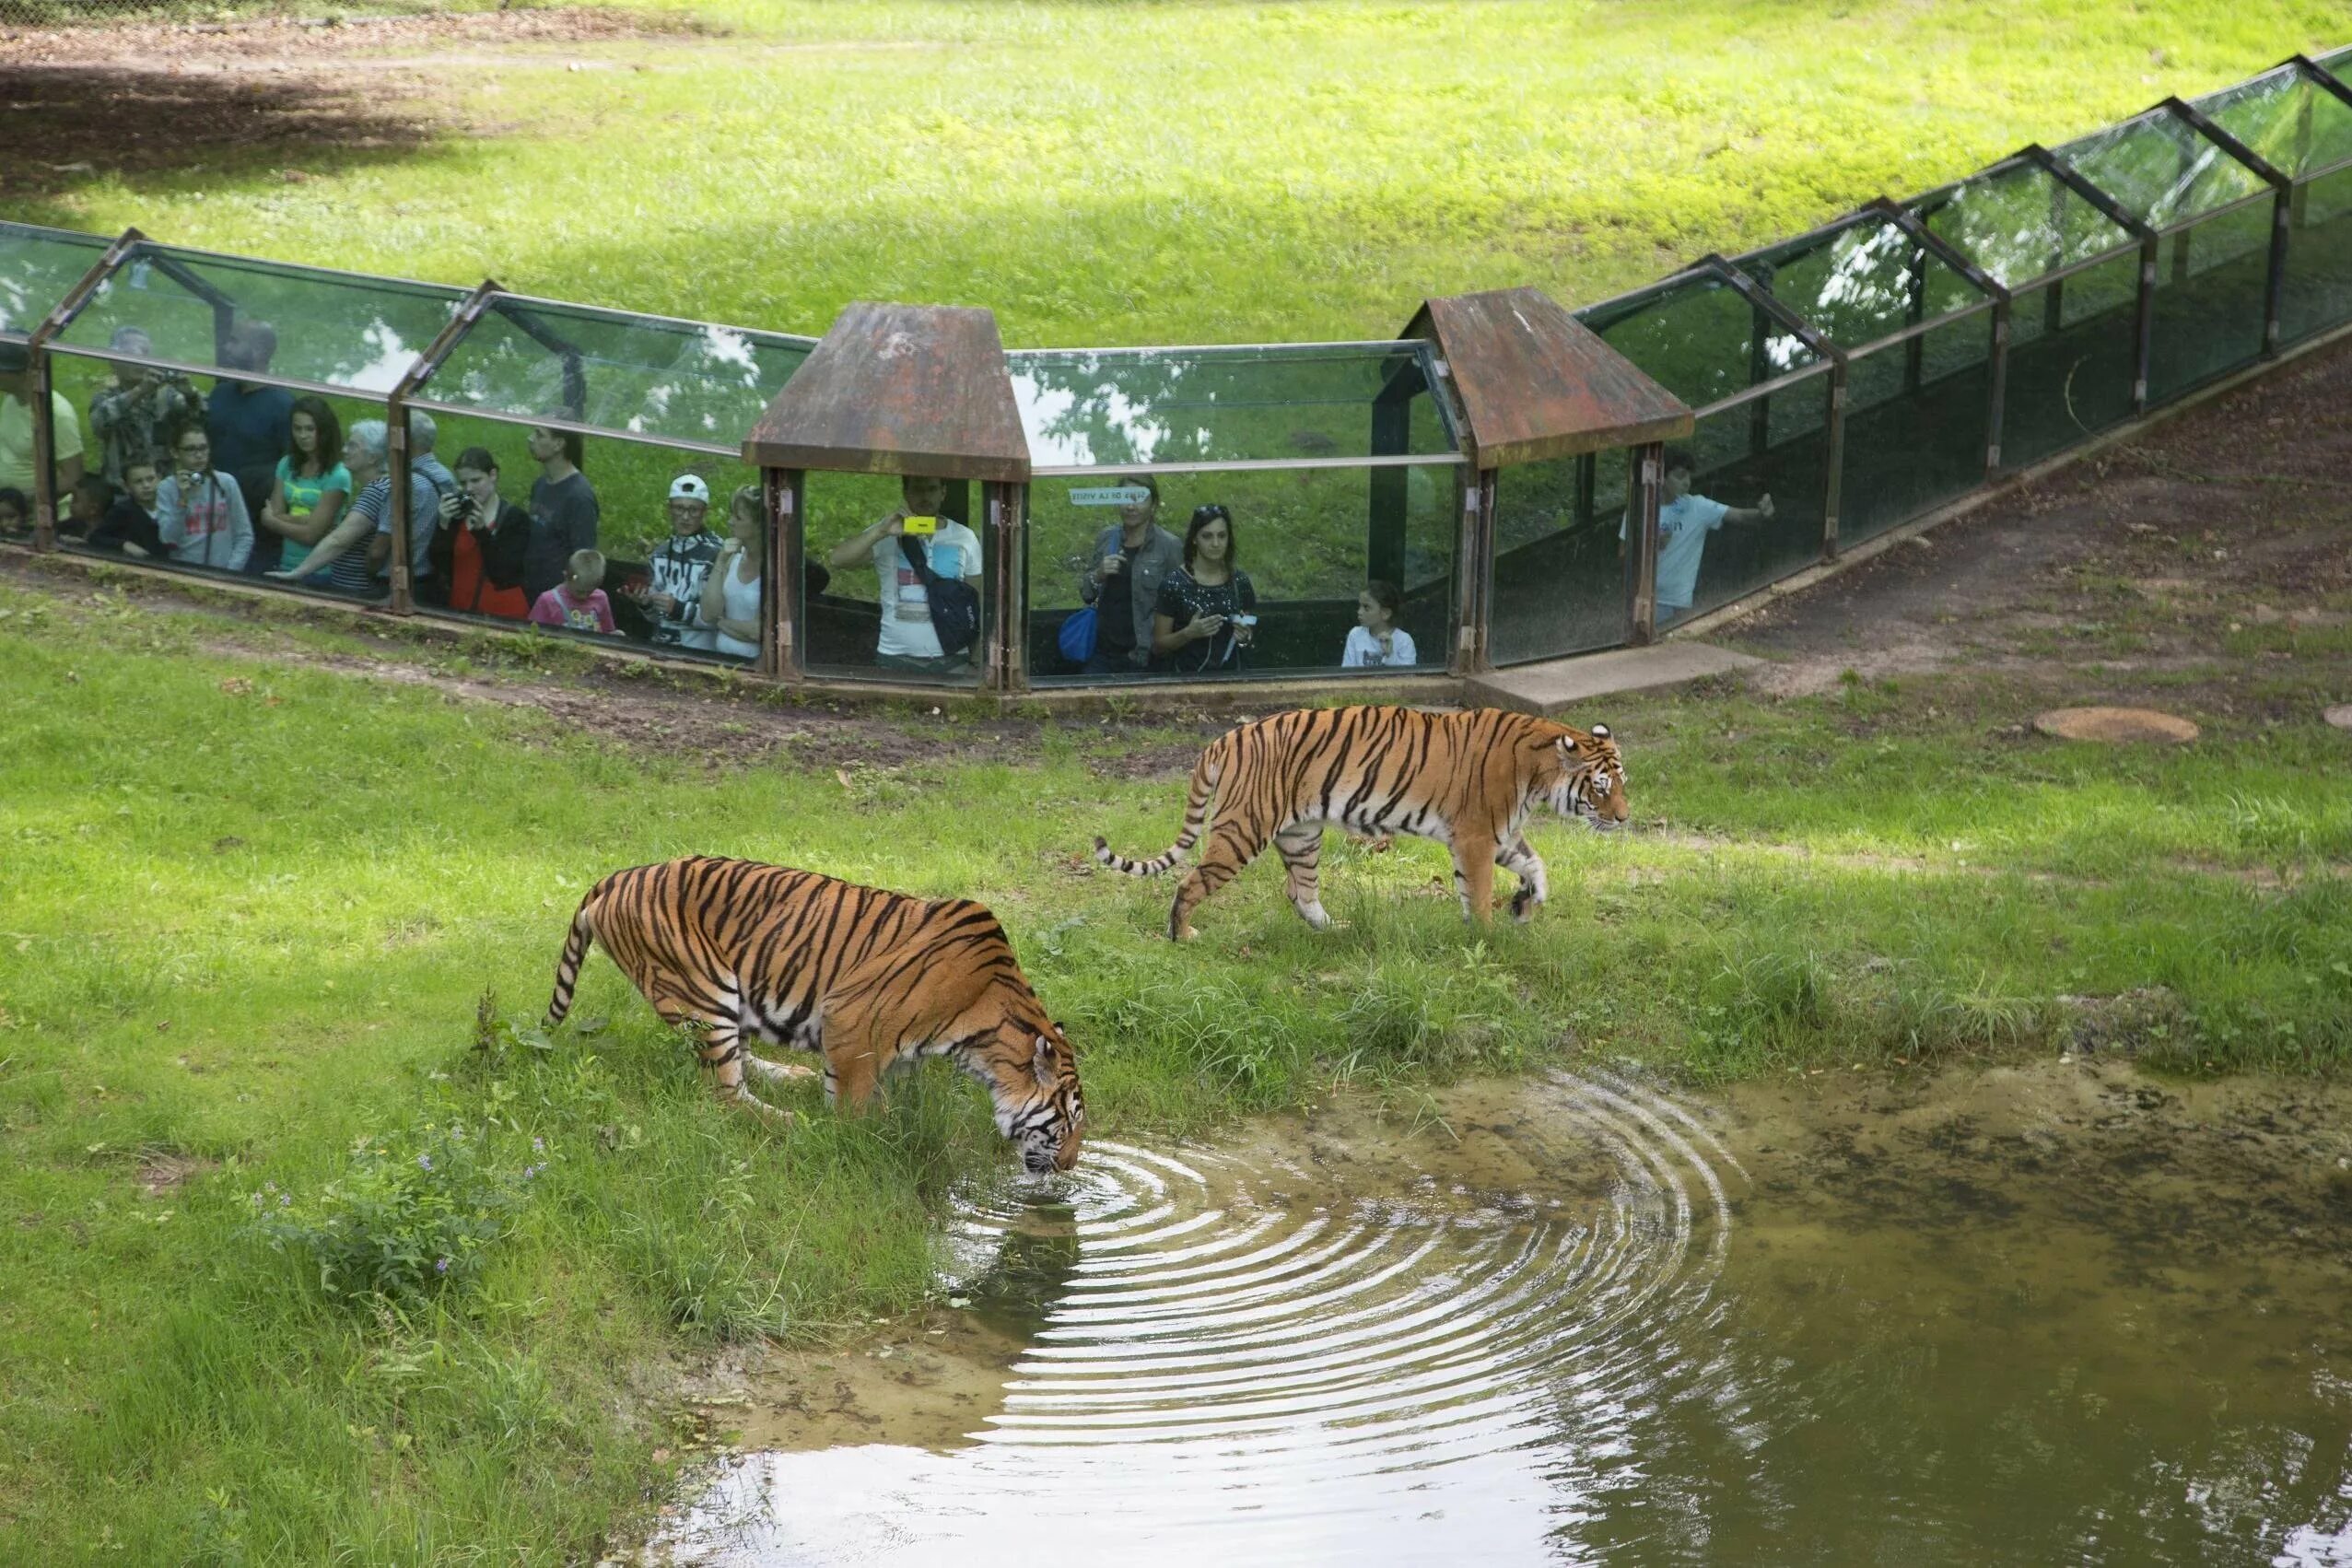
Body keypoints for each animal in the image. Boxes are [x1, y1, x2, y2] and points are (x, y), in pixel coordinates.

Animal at [550, 860, 1091, 1175]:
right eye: (1068, 1122)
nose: (1069, 1167)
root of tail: (618, 876)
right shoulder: (851, 1020)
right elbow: (855, 1105)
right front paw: (856, 1138)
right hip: (703, 992)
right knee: (726, 1095)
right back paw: (793, 1120)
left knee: (744, 1068)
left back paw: (795, 1077)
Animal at [1091, 709, 1627, 944]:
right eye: (1601, 787)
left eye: (1622, 783)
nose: (1624, 818)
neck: (1539, 776)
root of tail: (1224, 738)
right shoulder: (1476, 837)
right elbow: (1477, 892)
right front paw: (1487, 935)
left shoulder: (1501, 835)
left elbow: (1536, 866)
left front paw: (1525, 904)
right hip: (1244, 830)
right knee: (1189, 883)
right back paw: (1183, 936)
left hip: (1302, 835)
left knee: (1300, 892)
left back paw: (1336, 931)